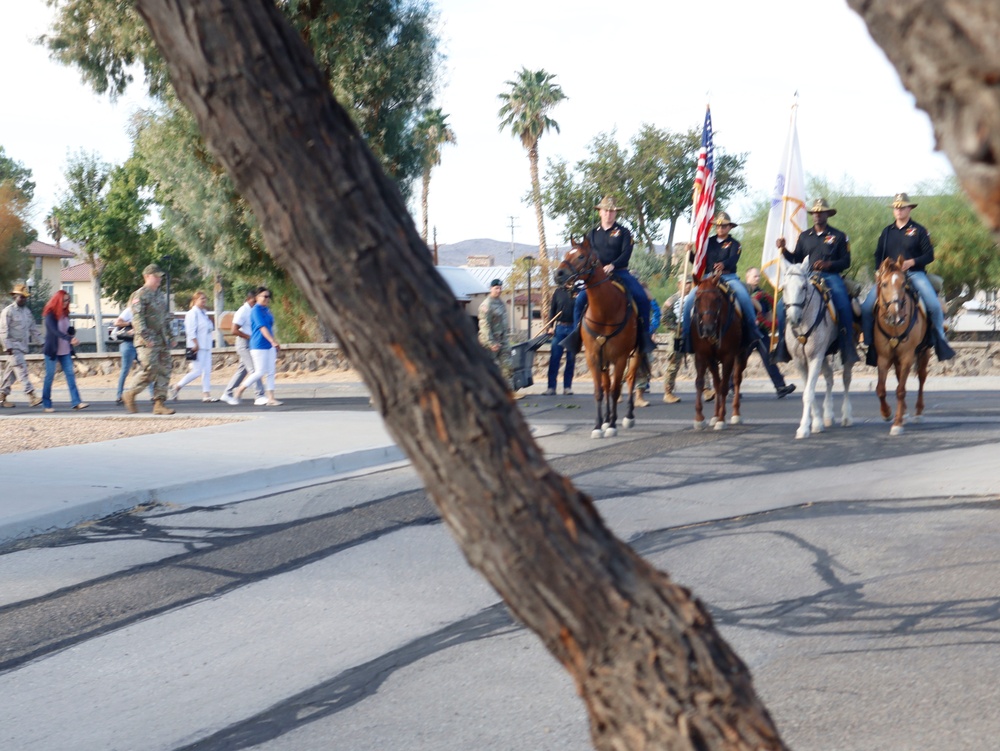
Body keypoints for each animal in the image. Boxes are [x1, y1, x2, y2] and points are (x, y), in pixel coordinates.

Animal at [556, 239, 640, 440]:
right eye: (566, 254)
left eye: (580, 256)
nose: (558, 274)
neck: (605, 311)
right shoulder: (593, 357)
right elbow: (599, 391)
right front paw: (598, 425)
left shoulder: (620, 358)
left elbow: (617, 390)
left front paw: (612, 425)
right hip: (605, 359)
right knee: (607, 385)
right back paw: (608, 418)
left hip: (636, 354)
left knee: (630, 380)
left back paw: (628, 416)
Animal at [692, 274, 748, 428]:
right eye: (697, 299)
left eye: (717, 299)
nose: (707, 329)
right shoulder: (702, 355)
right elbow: (701, 383)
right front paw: (699, 418)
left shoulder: (728, 356)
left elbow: (724, 386)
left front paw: (722, 419)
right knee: (717, 383)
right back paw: (715, 415)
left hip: (741, 355)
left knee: (736, 380)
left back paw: (735, 414)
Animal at [780, 262, 852, 440]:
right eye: (784, 287)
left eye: (803, 287)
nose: (793, 318)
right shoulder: (800, 361)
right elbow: (809, 391)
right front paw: (817, 422)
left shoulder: (815, 357)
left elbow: (808, 393)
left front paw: (804, 428)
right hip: (824, 356)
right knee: (829, 378)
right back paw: (828, 415)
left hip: (844, 352)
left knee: (846, 379)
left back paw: (847, 416)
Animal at [872, 258, 932, 434]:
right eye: (884, 284)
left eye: (903, 283)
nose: (896, 314)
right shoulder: (883, 357)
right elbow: (881, 389)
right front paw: (887, 413)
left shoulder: (907, 356)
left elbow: (900, 390)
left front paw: (897, 424)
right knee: (900, 376)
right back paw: (903, 412)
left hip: (924, 352)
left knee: (921, 377)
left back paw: (918, 412)